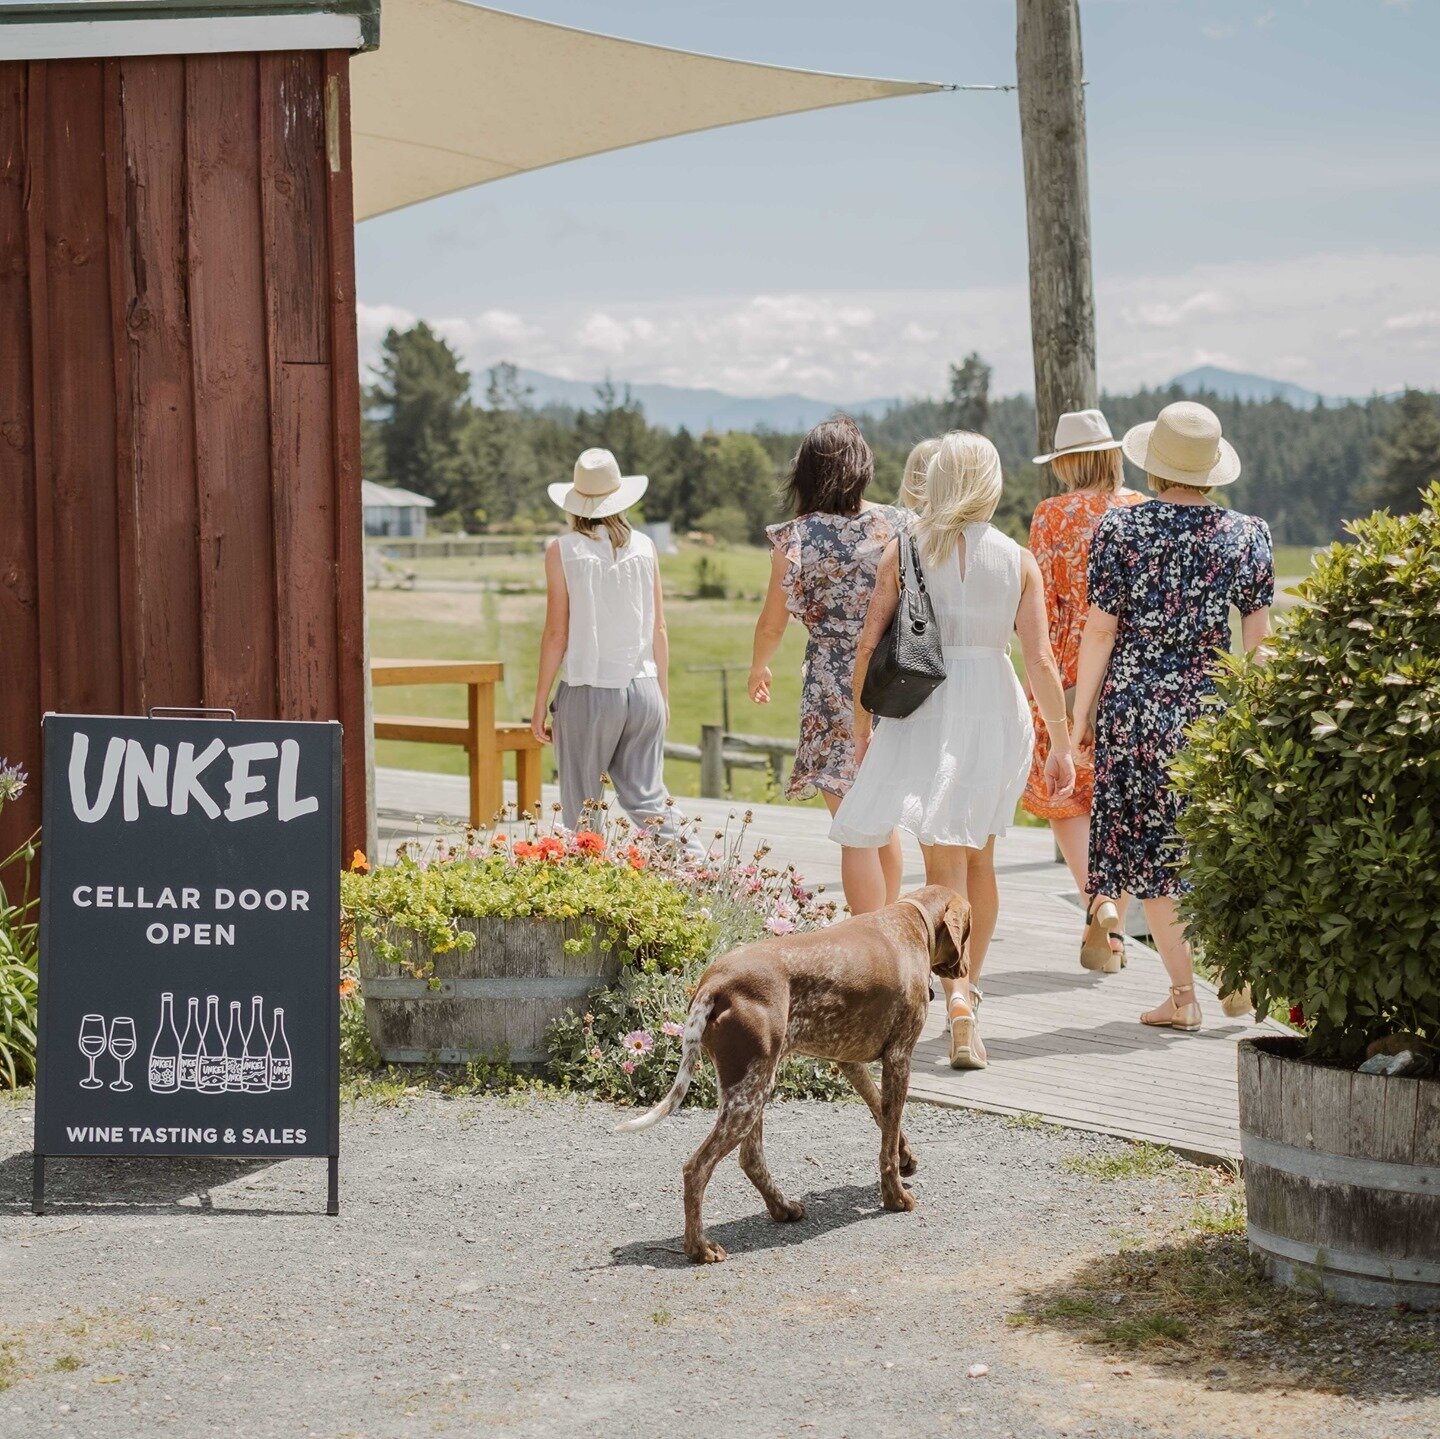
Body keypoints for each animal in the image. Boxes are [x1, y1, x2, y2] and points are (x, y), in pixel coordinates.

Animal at [616, 881, 967, 1267]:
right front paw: (896, 1197)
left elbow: (884, 1115)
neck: (910, 922)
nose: (965, 968)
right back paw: (700, 1247)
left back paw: (782, 1208)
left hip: (751, 1087)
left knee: (750, 1158)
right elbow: (887, 1141)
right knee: (697, 1168)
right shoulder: (900, 1057)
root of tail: (714, 982)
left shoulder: (850, 1061)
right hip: (750, 1092)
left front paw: (906, 1157)